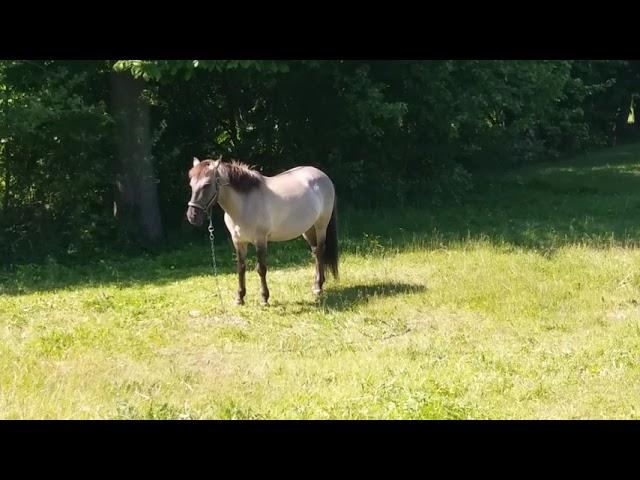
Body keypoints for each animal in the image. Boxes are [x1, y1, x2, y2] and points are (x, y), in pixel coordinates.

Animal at [186, 156, 340, 306]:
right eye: (191, 185)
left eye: (206, 185)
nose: (192, 216)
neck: (245, 204)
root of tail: (323, 176)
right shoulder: (239, 241)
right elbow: (241, 268)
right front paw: (240, 298)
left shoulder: (260, 240)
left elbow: (261, 269)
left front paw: (264, 298)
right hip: (308, 229)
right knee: (315, 252)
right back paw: (315, 285)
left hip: (321, 226)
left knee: (320, 251)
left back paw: (318, 287)